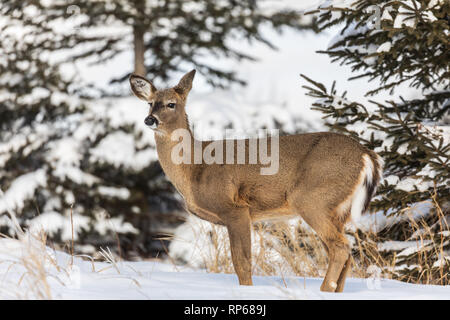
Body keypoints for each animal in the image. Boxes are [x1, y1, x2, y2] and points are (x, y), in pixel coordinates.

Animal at [127, 70, 384, 292]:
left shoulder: (236, 208)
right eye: (150, 103)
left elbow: (242, 263)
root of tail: (367, 155)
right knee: (344, 251)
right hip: (337, 209)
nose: (149, 120)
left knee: (340, 248)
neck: (195, 168)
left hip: (313, 199)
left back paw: (323, 290)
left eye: (171, 103)